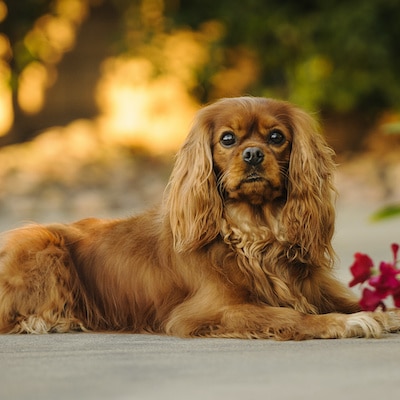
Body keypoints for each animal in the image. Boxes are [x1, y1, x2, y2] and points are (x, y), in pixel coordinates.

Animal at [0, 97, 400, 338]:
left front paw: (385, 313)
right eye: (228, 139)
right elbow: (289, 316)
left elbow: (355, 300)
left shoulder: (315, 288)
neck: (255, 233)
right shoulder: (210, 312)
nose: (253, 154)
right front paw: (347, 322)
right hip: (40, 242)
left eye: (276, 137)